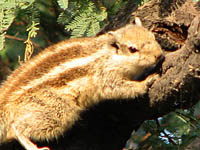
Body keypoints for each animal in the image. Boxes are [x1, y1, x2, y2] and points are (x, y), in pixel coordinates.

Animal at [0, 17, 163, 150]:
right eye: (132, 49)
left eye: (153, 37)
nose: (159, 55)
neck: (110, 55)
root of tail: (6, 100)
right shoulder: (105, 76)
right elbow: (119, 88)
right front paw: (145, 82)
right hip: (57, 110)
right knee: (16, 127)